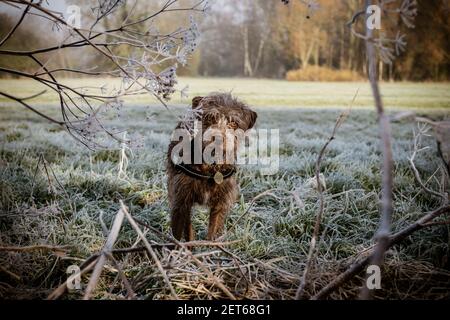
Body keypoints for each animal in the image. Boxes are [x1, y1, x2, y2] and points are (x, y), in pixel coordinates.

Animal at [167, 94, 256, 241]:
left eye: (233, 123)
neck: (210, 167)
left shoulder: (220, 203)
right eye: (210, 118)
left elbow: (213, 232)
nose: (218, 139)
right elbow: (177, 233)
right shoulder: (180, 200)